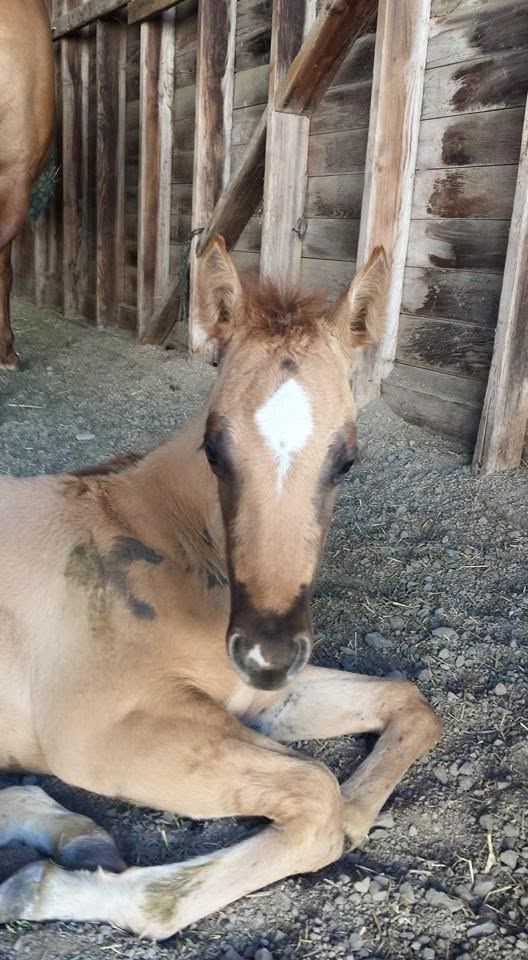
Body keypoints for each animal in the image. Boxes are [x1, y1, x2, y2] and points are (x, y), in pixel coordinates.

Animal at [0, 237, 441, 939]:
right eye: (214, 449)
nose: (267, 655)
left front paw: (356, 815)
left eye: (346, 460)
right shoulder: (102, 730)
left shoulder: (252, 699)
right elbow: (314, 796)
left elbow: (408, 702)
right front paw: (42, 892)